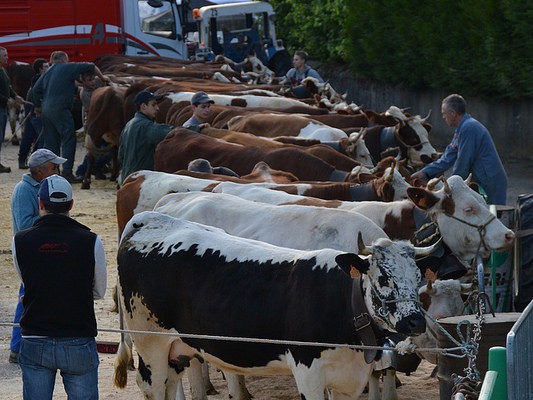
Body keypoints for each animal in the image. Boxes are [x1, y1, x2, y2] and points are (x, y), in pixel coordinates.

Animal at [113, 211, 436, 398]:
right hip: (150, 342)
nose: (415, 321)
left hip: (177, 349)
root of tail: (150, 219)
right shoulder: (308, 372)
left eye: (418, 276)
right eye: (383, 277)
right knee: (152, 385)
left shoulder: (349, 378)